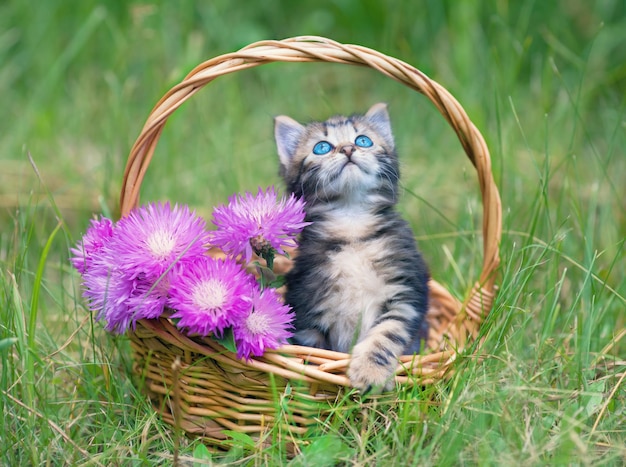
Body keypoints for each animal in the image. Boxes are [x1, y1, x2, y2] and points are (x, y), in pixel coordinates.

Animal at [272, 104, 428, 394]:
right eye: (322, 147)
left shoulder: (405, 292)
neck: (352, 224)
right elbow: (311, 351)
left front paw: (370, 371)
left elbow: (388, 332)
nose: (347, 149)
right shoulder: (307, 306)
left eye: (363, 140)